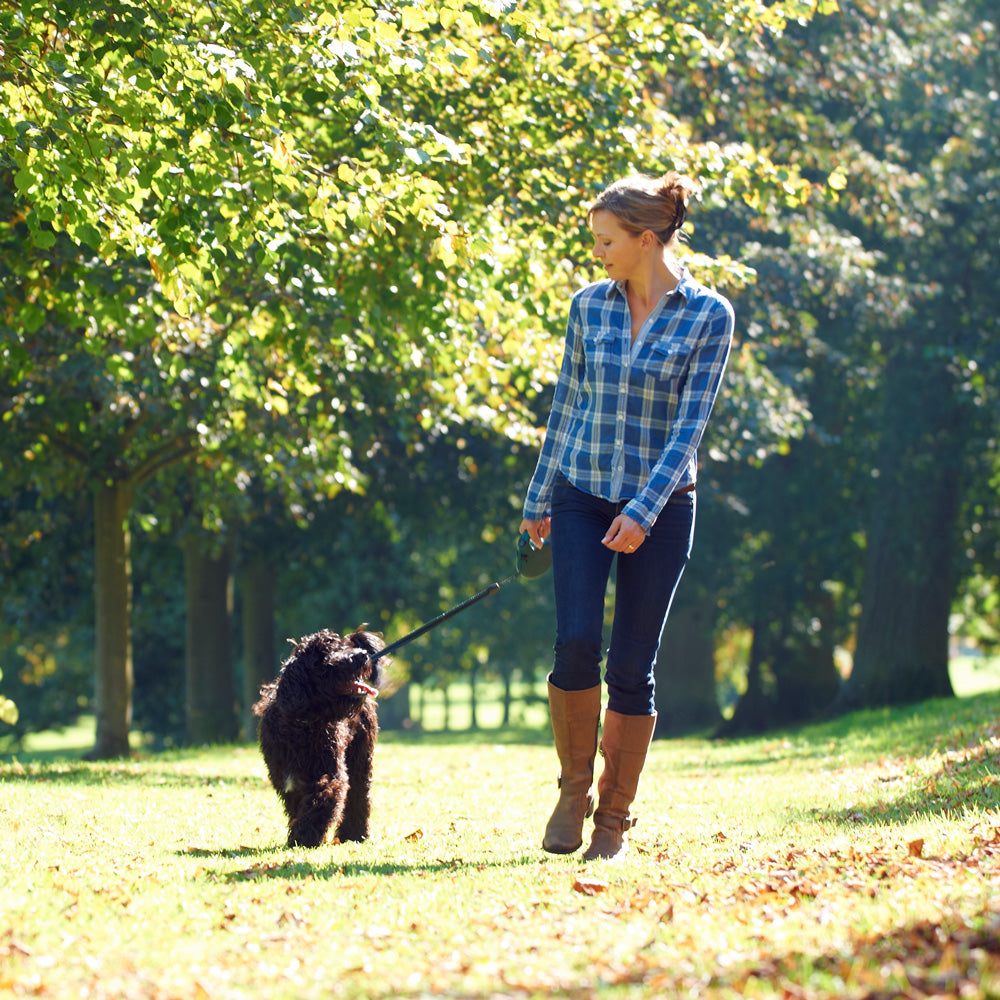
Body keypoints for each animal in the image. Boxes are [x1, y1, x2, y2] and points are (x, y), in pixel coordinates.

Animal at [254, 628, 382, 848]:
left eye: (342, 647)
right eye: (325, 656)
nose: (362, 655)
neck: (303, 724)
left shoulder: (329, 773)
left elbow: (322, 799)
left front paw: (305, 836)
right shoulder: (287, 779)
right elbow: (298, 807)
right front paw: (298, 834)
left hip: (360, 758)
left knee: (359, 795)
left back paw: (354, 835)